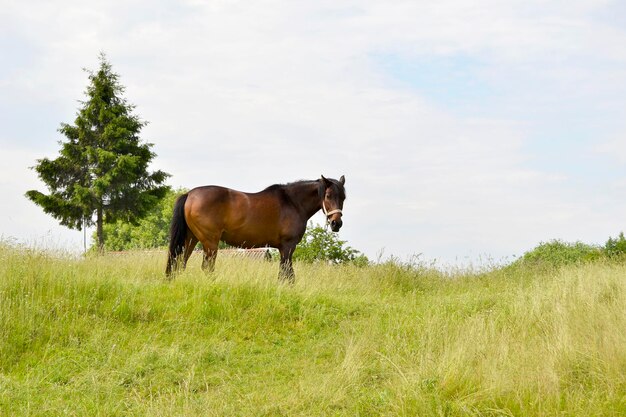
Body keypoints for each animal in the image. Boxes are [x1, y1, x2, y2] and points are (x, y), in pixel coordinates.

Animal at [165, 174, 346, 282]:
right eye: (328, 196)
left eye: (344, 197)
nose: (336, 223)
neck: (292, 202)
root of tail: (189, 194)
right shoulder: (288, 247)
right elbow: (287, 274)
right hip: (210, 242)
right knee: (207, 267)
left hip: (190, 239)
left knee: (179, 263)